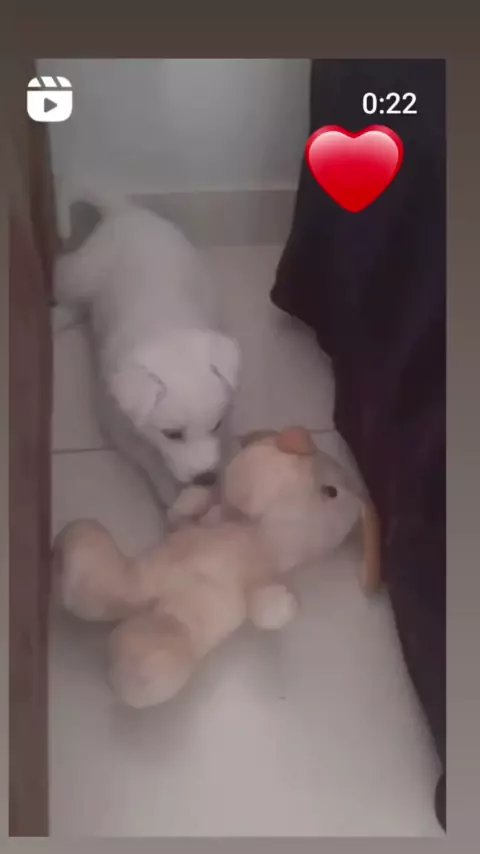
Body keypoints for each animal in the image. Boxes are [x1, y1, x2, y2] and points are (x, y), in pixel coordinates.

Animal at [54, 196, 241, 509]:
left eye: (216, 425)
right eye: (173, 435)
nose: (206, 479)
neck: (166, 329)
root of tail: (126, 209)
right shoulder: (117, 423)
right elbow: (148, 454)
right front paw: (170, 491)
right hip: (79, 274)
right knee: (68, 285)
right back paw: (57, 316)